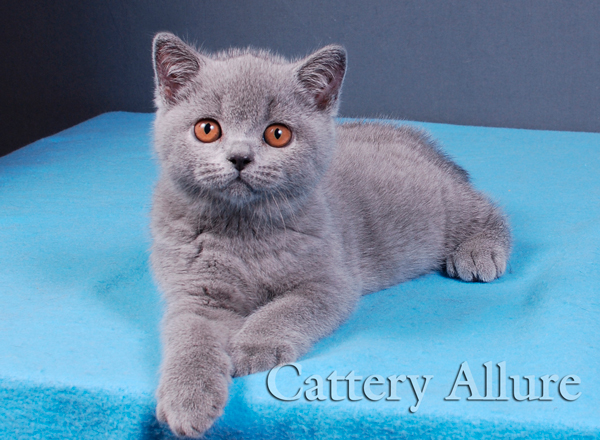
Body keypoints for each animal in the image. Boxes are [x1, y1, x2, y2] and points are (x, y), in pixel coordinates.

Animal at [150, 31, 510, 436]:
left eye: (277, 134)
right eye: (207, 129)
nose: (240, 157)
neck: (242, 231)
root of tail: (410, 137)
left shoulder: (329, 283)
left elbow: (284, 310)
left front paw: (253, 347)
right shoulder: (195, 292)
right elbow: (191, 338)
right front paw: (187, 398)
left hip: (443, 206)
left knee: (486, 209)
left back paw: (479, 254)